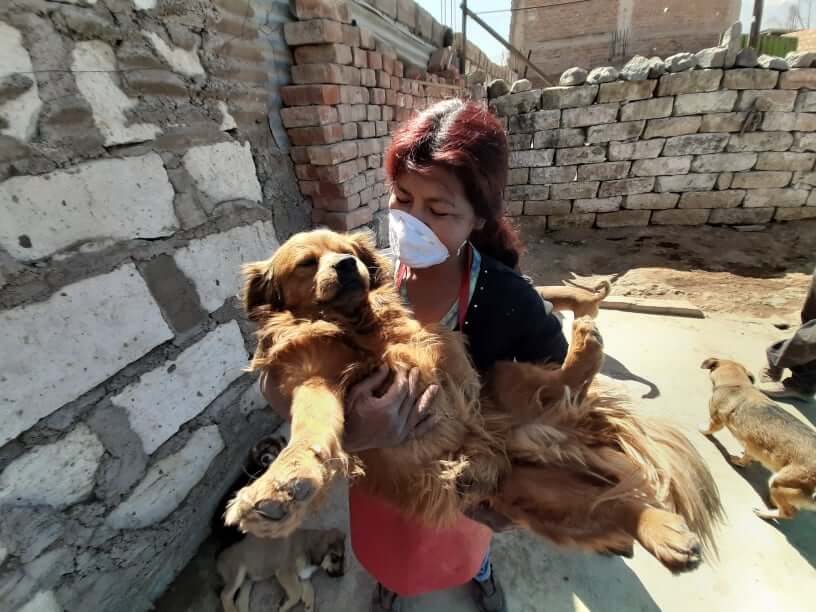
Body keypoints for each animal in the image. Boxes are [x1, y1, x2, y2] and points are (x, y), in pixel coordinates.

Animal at [226, 230, 724, 572]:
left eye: (348, 249)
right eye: (307, 263)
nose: (348, 265)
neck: (352, 326)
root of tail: (518, 440)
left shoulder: (433, 351)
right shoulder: (314, 381)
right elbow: (310, 432)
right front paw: (284, 485)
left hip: (505, 378)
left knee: (566, 383)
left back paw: (584, 340)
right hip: (535, 492)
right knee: (615, 506)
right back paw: (664, 533)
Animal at [700, 358, 816, 520]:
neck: (737, 384)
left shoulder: (716, 419)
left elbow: (710, 428)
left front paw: (703, 430)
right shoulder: (752, 444)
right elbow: (748, 454)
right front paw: (743, 460)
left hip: (779, 482)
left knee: (788, 513)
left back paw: (764, 513)